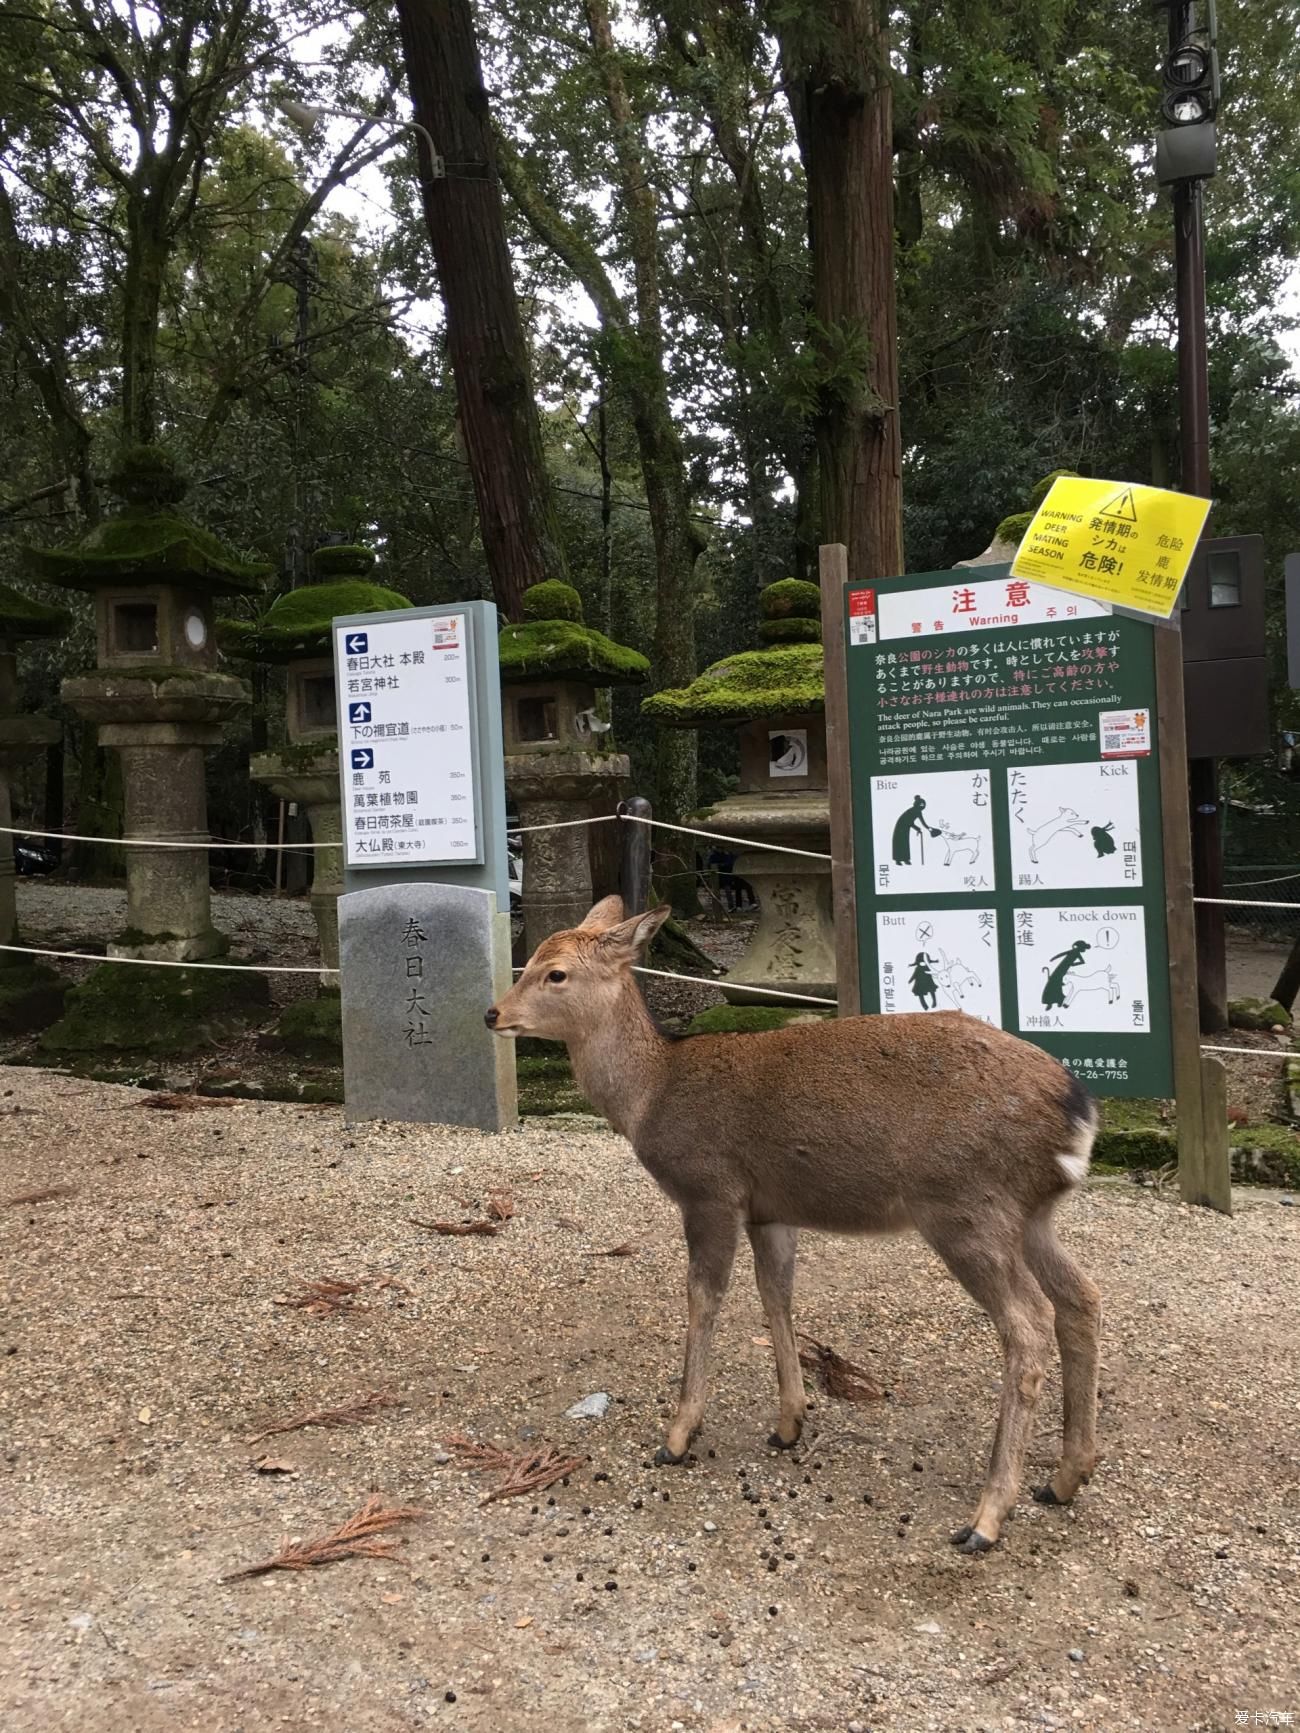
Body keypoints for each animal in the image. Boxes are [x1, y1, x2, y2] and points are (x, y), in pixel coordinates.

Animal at [485, 901, 1102, 1552]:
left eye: (555, 972)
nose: (493, 1012)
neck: (651, 1095)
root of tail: (1078, 1114)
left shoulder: (711, 1189)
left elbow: (704, 1297)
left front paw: (677, 1435)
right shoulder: (770, 1209)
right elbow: (775, 1293)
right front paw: (788, 1424)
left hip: (965, 1206)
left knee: (1028, 1323)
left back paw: (985, 1518)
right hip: (1030, 1214)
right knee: (1081, 1298)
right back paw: (1064, 1478)